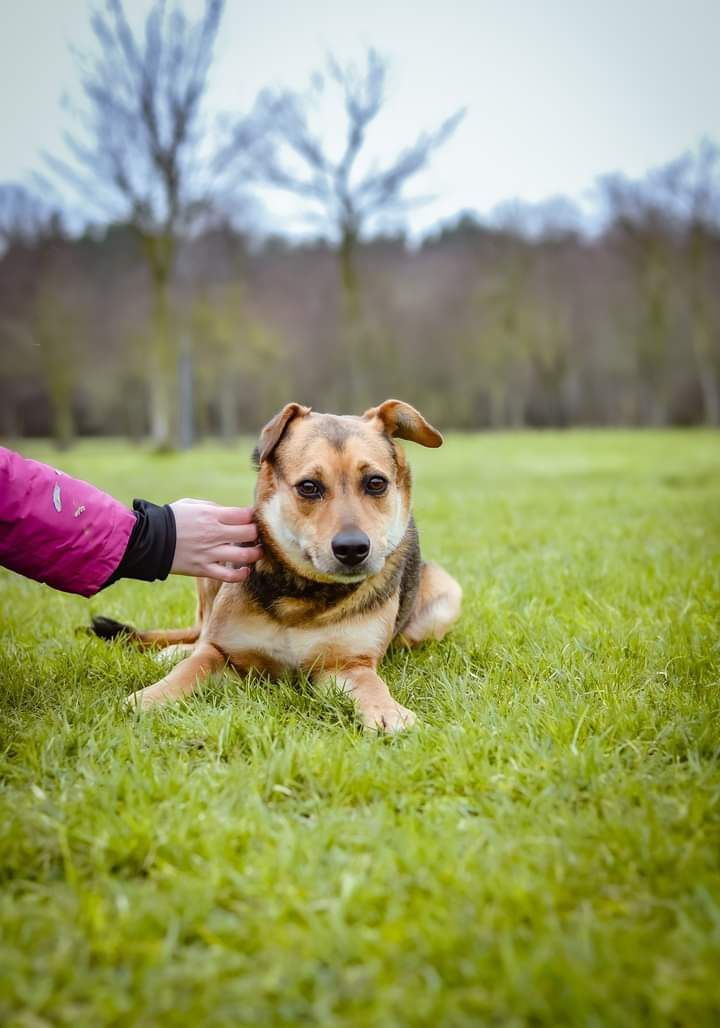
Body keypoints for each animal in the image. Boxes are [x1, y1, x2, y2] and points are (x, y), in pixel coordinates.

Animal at [91, 400, 460, 731]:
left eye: (376, 483)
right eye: (309, 487)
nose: (353, 548)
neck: (303, 594)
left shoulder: (346, 665)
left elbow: (372, 684)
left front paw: (388, 712)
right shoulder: (223, 650)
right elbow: (194, 665)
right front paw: (150, 697)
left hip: (447, 594)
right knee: (199, 632)